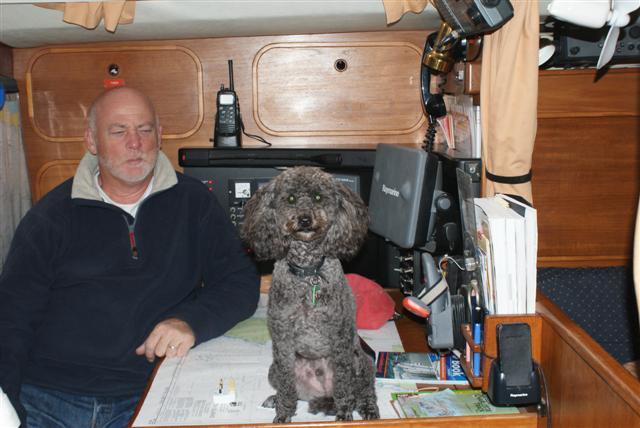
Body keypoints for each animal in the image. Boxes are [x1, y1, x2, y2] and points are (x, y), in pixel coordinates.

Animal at [240, 166, 380, 423]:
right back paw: (276, 399)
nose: (305, 219)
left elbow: (344, 385)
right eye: (291, 199)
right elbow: (287, 386)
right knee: (291, 389)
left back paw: (368, 409)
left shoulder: (340, 337)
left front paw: (344, 416)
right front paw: (283, 414)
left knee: (363, 391)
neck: (308, 273)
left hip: (361, 361)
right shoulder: (283, 340)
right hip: (274, 369)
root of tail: (323, 392)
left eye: (317, 197)